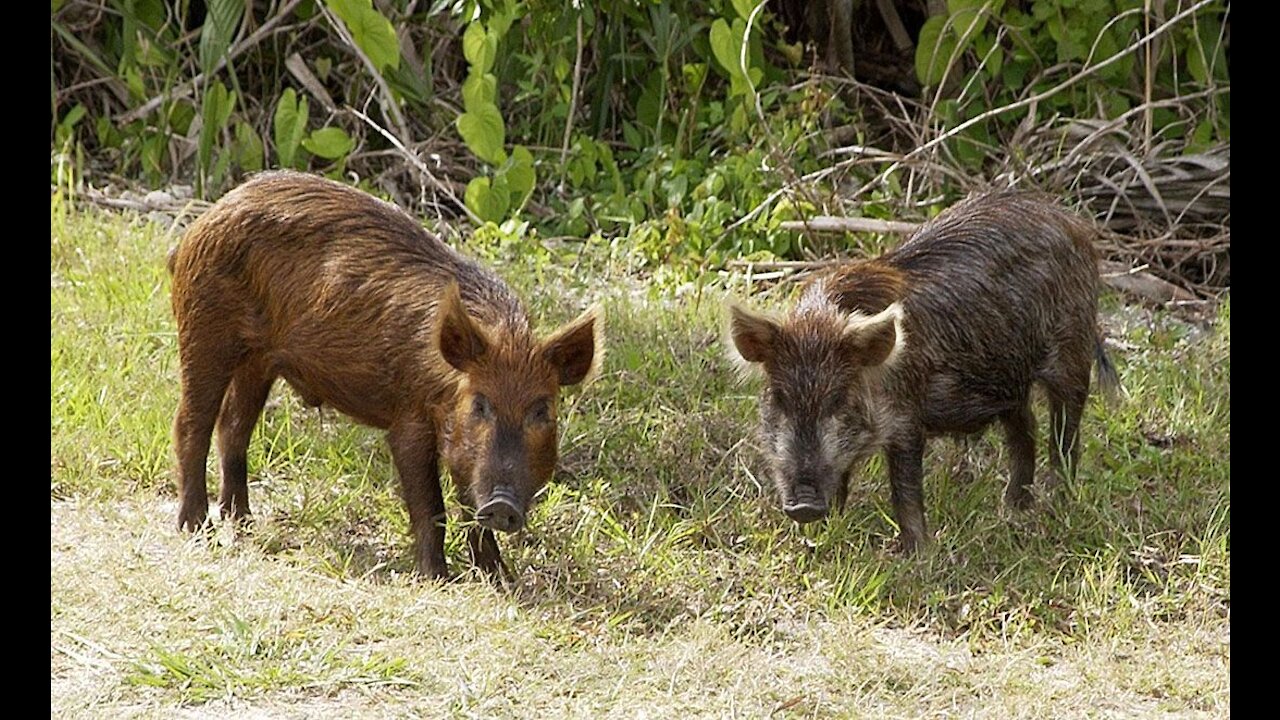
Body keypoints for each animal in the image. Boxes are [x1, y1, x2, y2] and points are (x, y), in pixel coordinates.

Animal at [167, 172, 601, 576]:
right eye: (480, 404)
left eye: (542, 411)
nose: (502, 505)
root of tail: (205, 219)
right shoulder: (409, 421)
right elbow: (431, 506)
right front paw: (437, 578)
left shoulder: (462, 448)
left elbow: (468, 507)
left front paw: (501, 579)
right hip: (205, 329)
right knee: (191, 423)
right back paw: (197, 527)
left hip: (258, 361)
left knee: (233, 427)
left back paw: (243, 522)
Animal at [732, 190, 1121, 548]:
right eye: (779, 398)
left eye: (839, 399)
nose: (803, 507)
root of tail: (1072, 223)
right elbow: (842, 479)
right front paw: (823, 537)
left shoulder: (906, 419)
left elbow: (904, 488)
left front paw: (914, 553)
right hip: (1009, 382)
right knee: (1026, 428)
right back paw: (1015, 507)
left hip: (1071, 354)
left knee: (1065, 435)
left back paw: (1057, 504)